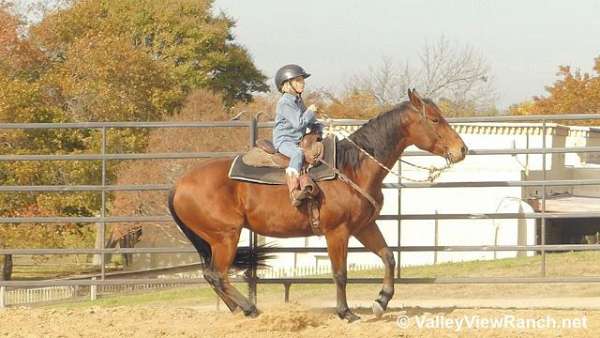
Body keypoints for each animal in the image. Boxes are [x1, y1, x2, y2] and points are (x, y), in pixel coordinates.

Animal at [166, 88, 466, 320]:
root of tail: (179, 185)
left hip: (215, 240)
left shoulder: (364, 227)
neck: (352, 167)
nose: (461, 150)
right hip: (225, 237)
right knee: (218, 275)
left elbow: (388, 256)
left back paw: (240, 310)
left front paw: (381, 302)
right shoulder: (337, 232)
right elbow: (340, 273)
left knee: (211, 275)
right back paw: (250, 308)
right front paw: (346, 312)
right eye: (435, 120)